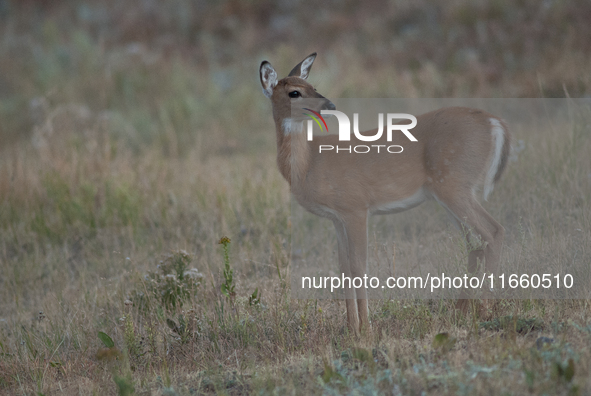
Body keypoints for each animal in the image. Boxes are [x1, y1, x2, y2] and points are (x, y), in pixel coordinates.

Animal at [260, 53, 512, 338]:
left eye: (312, 86)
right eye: (295, 92)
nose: (330, 104)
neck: (308, 163)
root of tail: (495, 123)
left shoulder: (356, 206)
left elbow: (359, 266)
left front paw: (366, 329)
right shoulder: (337, 217)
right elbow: (344, 267)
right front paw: (350, 327)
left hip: (454, 184)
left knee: (494, 231)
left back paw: (485, 310)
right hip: (449, 192)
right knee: (475, 244)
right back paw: (459, 312)